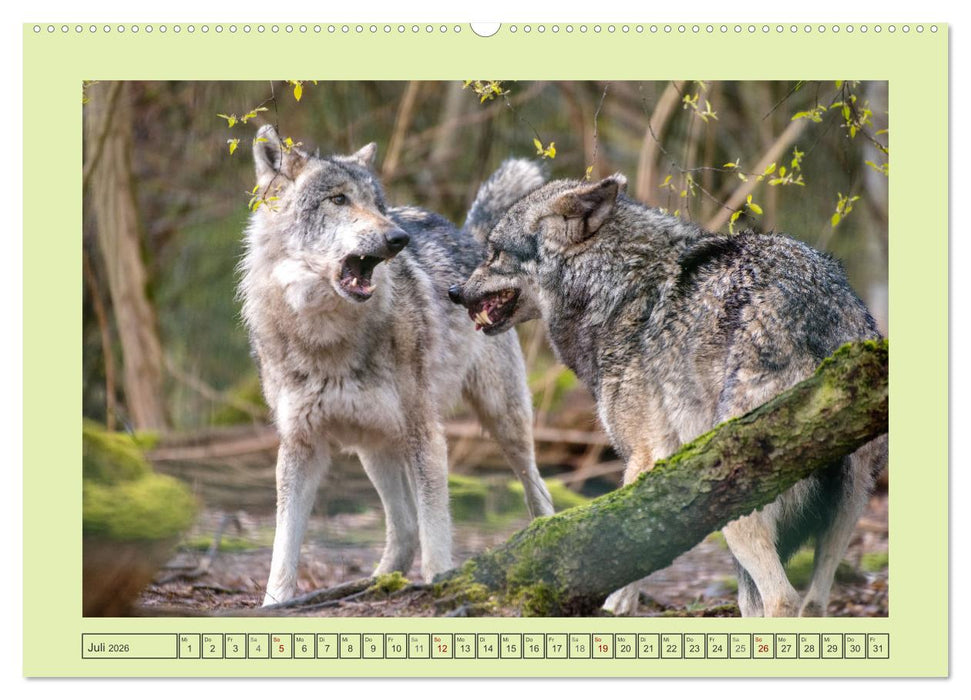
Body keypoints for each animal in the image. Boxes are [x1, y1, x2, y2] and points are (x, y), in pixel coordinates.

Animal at [239, 125, 554, 606]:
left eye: (377, 204)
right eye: (338, 199)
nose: (398, 238)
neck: (327, 338)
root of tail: (470, 236)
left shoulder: (426, 433)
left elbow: (436, 527)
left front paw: (443, 582)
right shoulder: (299, 444)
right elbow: (284, 542)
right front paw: (276, 603)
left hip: (502, 421)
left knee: (538, 491)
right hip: (376, 447)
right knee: (402, 530)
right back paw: (369, 584)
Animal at [448, 173, 887, 617]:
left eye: (494, 252)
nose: (453, 291)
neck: (615, 286)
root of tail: (820, 318)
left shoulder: (644, 459)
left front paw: (613, 608)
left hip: (738, 511)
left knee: (782, 599)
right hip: (843, 516)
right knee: (806, 602)